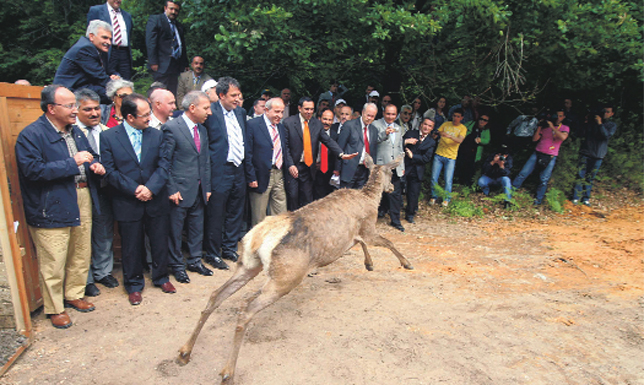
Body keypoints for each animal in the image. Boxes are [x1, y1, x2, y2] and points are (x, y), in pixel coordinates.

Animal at [176, 153, 412, 380]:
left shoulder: (356, 235)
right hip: (286, 275)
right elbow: (387, 242)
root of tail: (257, 237)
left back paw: (184, 351)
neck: (370, 198)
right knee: (246, 309)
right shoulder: (369, 227)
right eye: (392, 173)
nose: (392, 188)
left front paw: (369, 264)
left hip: (248, 264)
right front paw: (406, 263)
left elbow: (361, 244)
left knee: (216, 294)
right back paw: (227, 372)